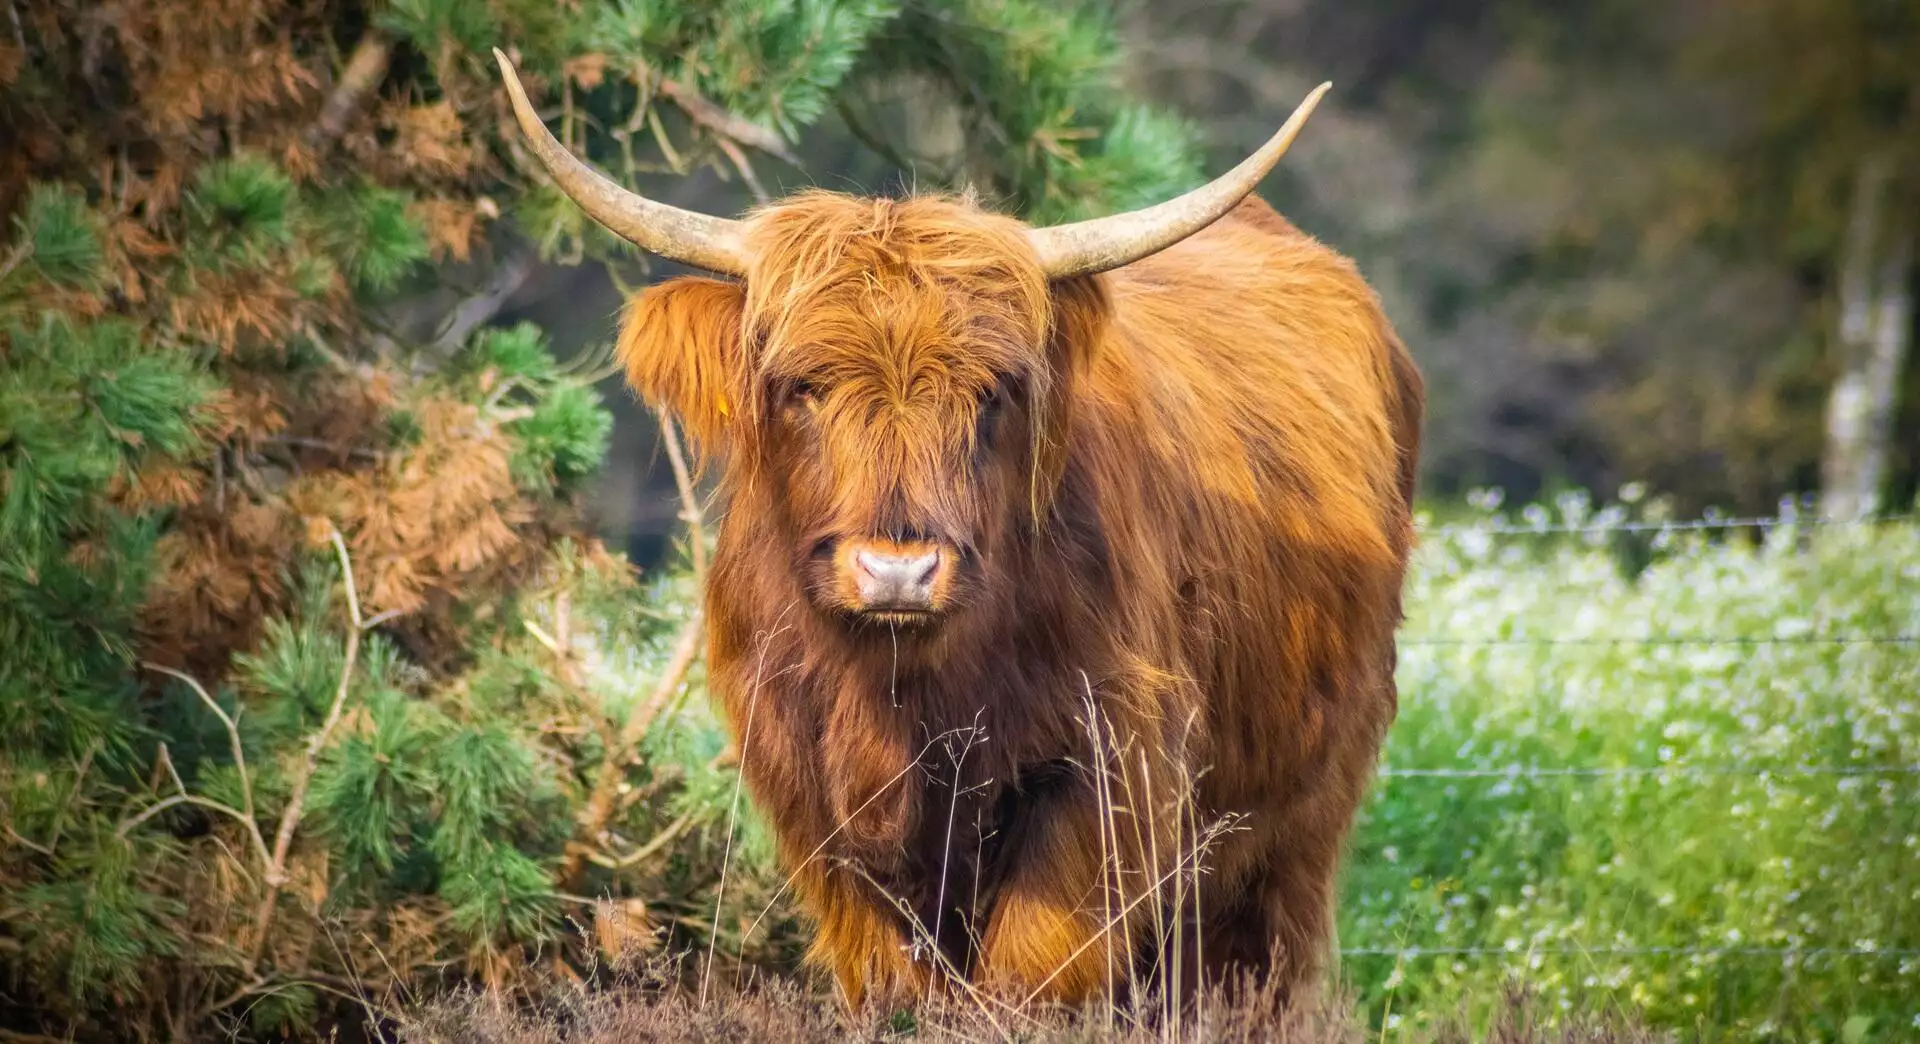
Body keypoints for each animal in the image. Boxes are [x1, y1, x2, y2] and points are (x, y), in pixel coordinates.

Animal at [495, 50, 1428, 1013]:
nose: (897, 572)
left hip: (1303, 805)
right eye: (804, 388)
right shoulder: (807, 788)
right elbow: (889, 976)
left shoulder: (1103, 767)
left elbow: (1030, 970)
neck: (900, 691)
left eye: (989, 394)